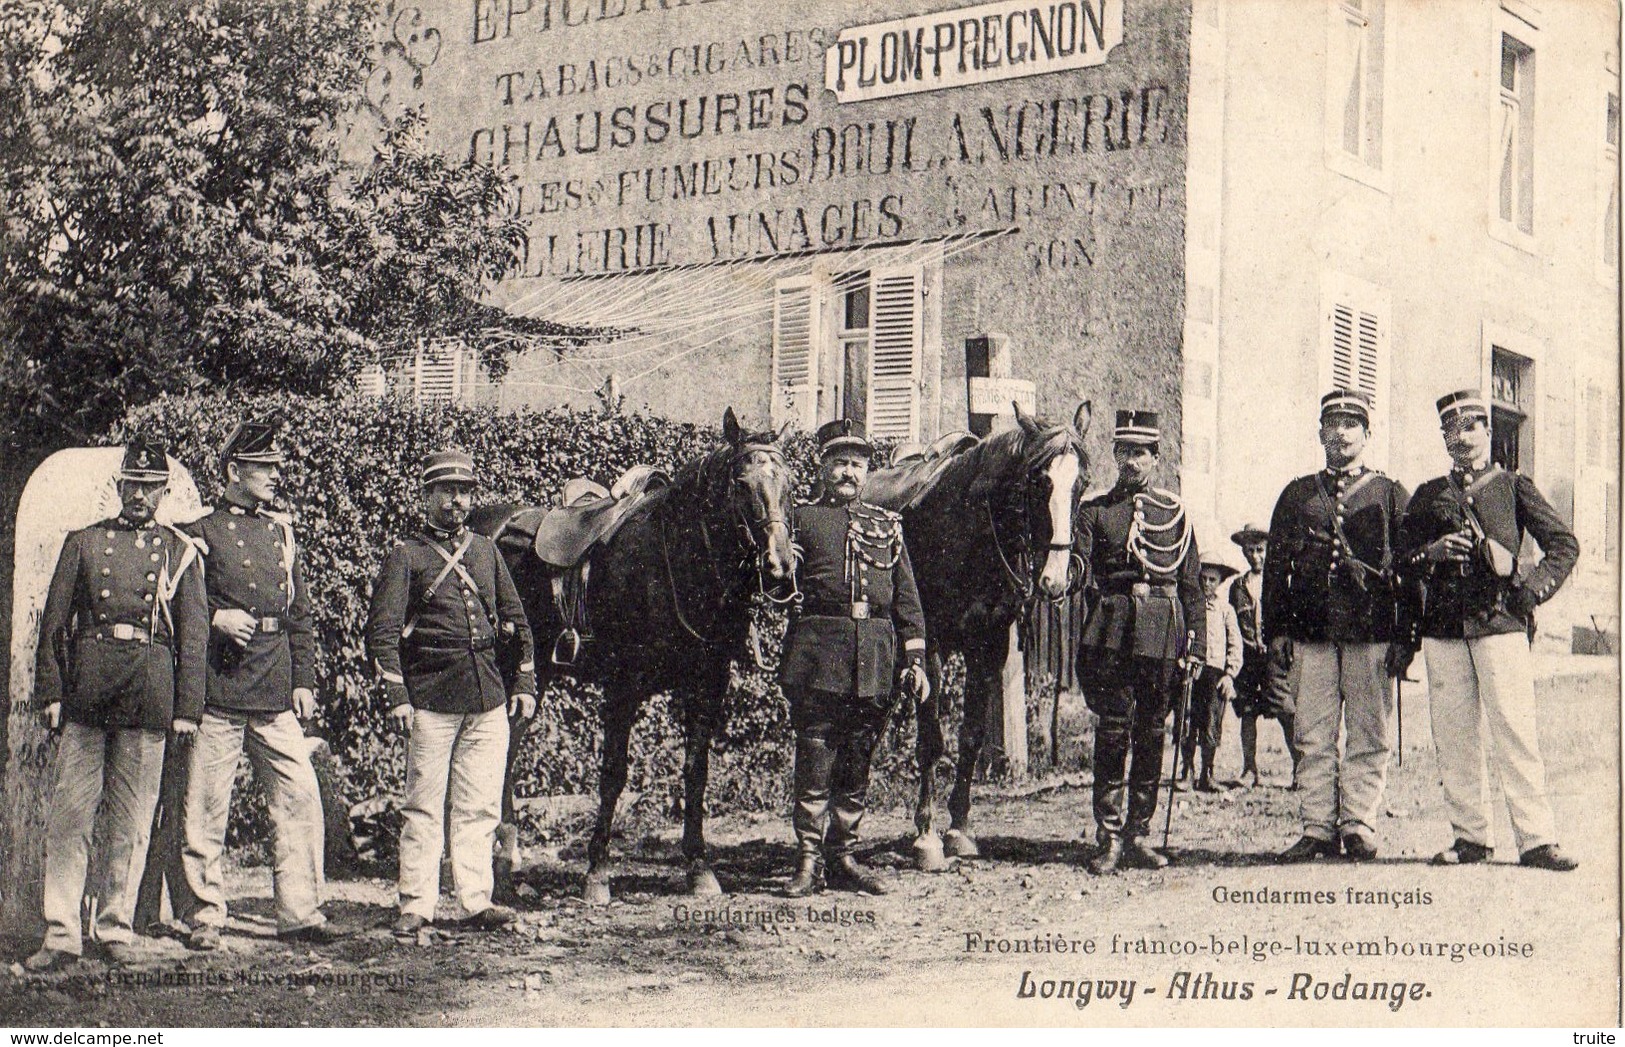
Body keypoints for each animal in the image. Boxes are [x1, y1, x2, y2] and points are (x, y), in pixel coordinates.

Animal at [468, 412, 796, 903]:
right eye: (741, 483)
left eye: (789, 482)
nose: (779, 567)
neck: (673, 563)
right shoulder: (622, 687)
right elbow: (613, 774)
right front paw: (597, 872)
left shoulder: (706, 685)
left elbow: (696, 771)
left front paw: (699, 867)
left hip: (533, 676)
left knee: (508, 746)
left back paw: (506, 856)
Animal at [864, 401, 1092, 864]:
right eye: (1039, 480)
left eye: (1082, 484)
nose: (1055, 579)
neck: (967, 530)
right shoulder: (930, 644)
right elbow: (932, 740)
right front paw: (926, 835)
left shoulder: (989, 645)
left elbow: (970, 735)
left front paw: (960, 828)